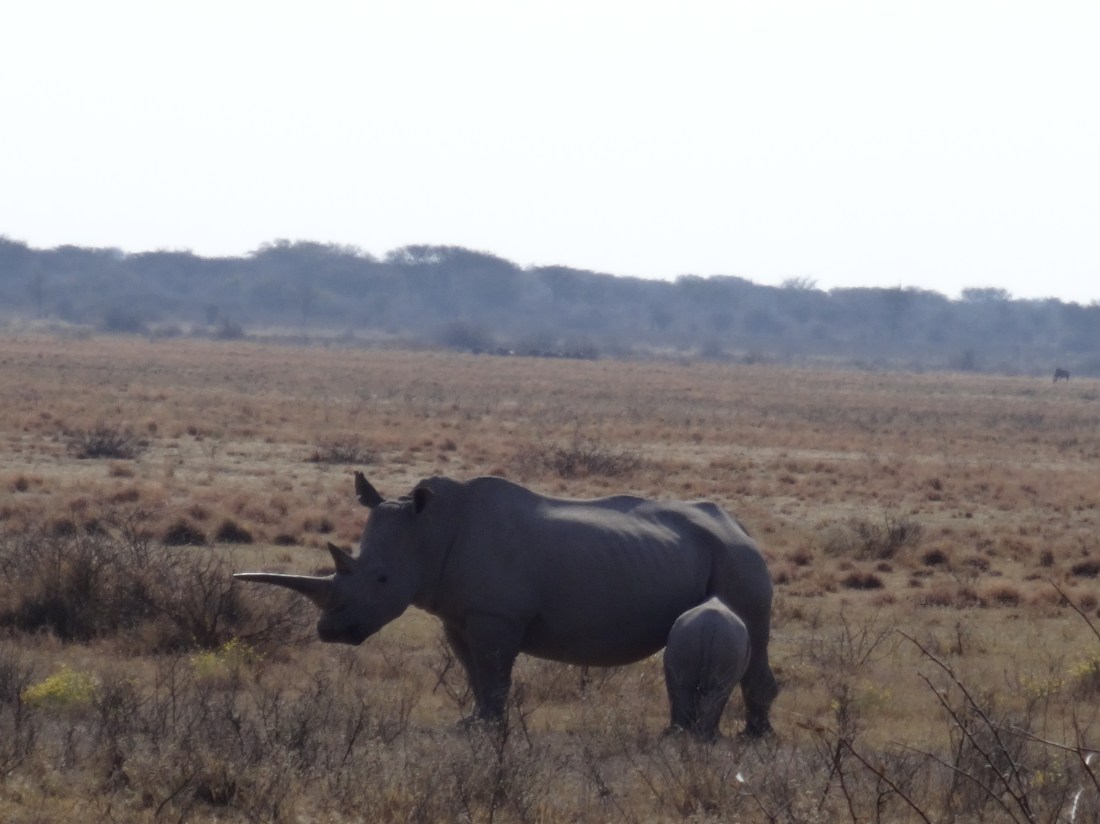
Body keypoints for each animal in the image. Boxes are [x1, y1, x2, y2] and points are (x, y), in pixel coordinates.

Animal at [664, 597, 751, 741]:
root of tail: (710, 624)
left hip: (686, 639)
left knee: (683, 688)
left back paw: (682, 734)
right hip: (727, 644)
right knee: (718, 692)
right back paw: (706, 737)